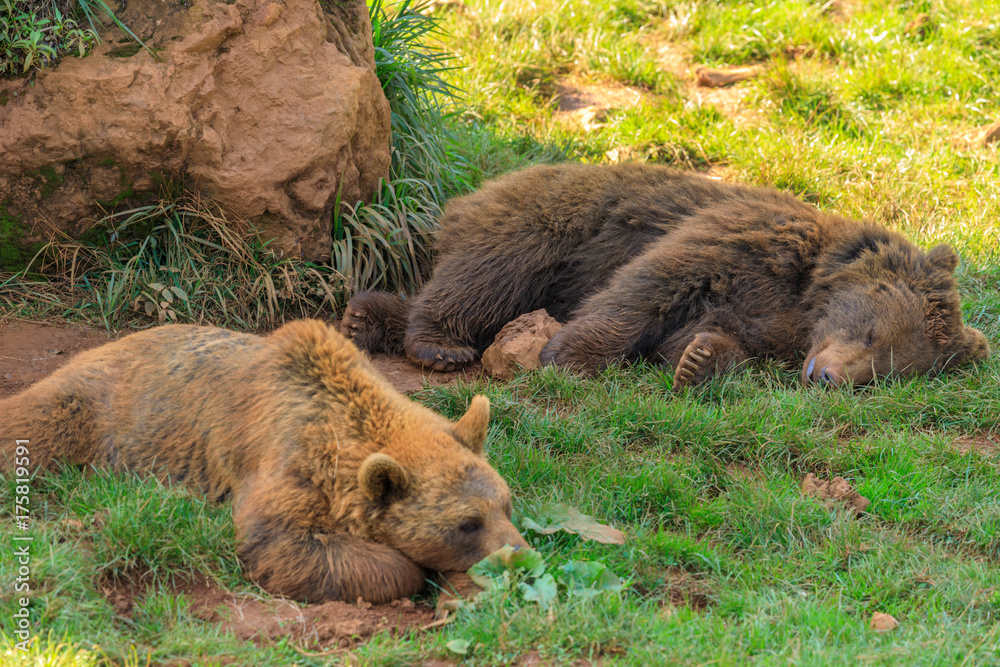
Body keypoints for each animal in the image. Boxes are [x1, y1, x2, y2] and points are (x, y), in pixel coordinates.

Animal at [0, 319, 527, 603]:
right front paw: (411, 570)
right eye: (467, 523)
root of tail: (97, 347)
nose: (520, 554)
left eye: (506, 505)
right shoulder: (287, 457)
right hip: (94, 408)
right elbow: (279, 540)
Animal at [341, 163, 989, 389]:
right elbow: (650, 283)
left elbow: (711, 339)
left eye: (885, 373)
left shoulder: (770, 325)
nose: (827, 377)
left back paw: (364, 316)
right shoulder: (747, 241)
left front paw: (699, 359)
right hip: (552, 219)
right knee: (488, 273)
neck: (808, 296)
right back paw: (439, 345)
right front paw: (569, 355)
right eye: (875, 334)